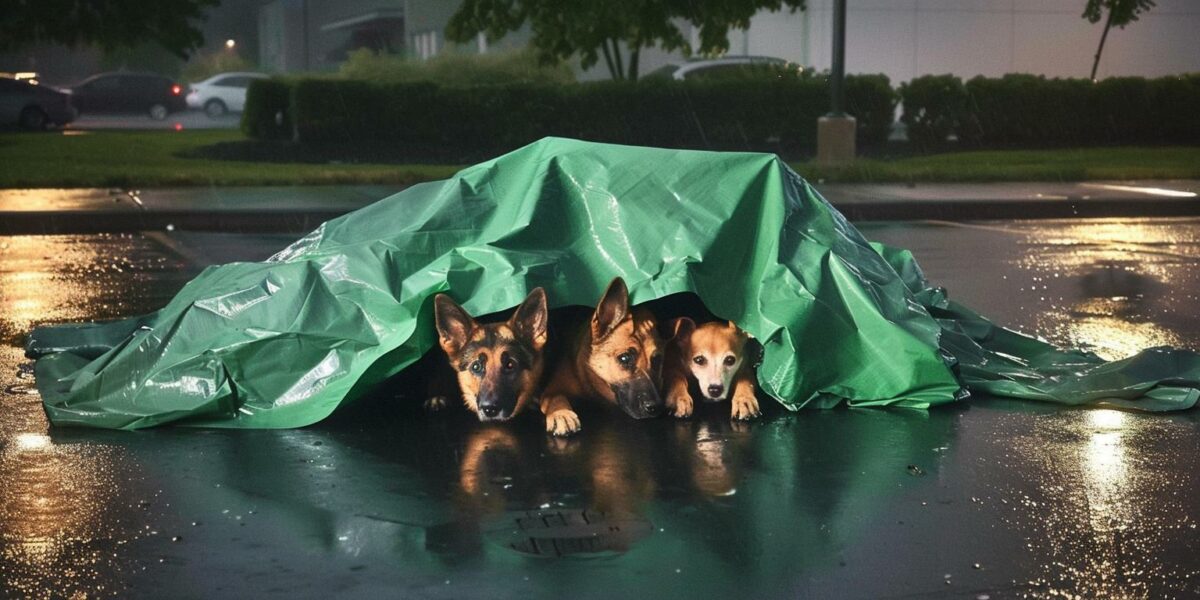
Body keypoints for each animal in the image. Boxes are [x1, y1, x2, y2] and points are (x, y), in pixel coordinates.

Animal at [542, 278, 681, 439]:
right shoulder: (551, 389)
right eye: (625, 358)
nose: (656, 407)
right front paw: (561, 413)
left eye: (657, 360)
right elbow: (555, 397)